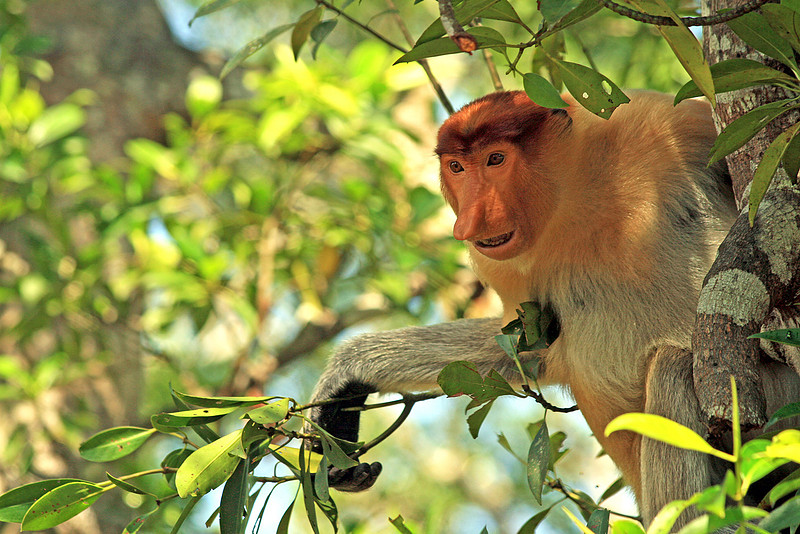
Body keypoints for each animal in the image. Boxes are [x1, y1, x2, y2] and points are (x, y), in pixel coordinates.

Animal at [306, 90, 800, 529]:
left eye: (496, 159)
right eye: (457, 167)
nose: (468, 222)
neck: (571, 196)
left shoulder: (663, 120)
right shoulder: (500, 266)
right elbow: (528, 349)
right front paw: (347, 383)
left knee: (677, 364)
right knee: (675, 364)